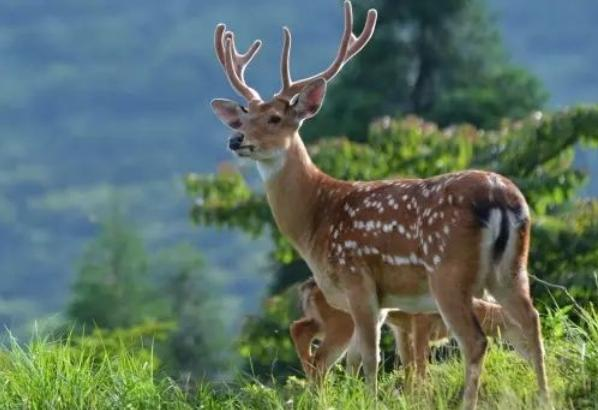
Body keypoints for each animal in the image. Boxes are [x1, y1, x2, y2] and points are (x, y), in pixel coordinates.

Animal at [290, 278, 528, 382]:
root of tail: (307, 287)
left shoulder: (403, 329)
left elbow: (408, 366)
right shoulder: (419, 322)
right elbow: (420, 364)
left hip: (325, 321)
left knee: (299, 329)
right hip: (342, 323)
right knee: (320, 359)